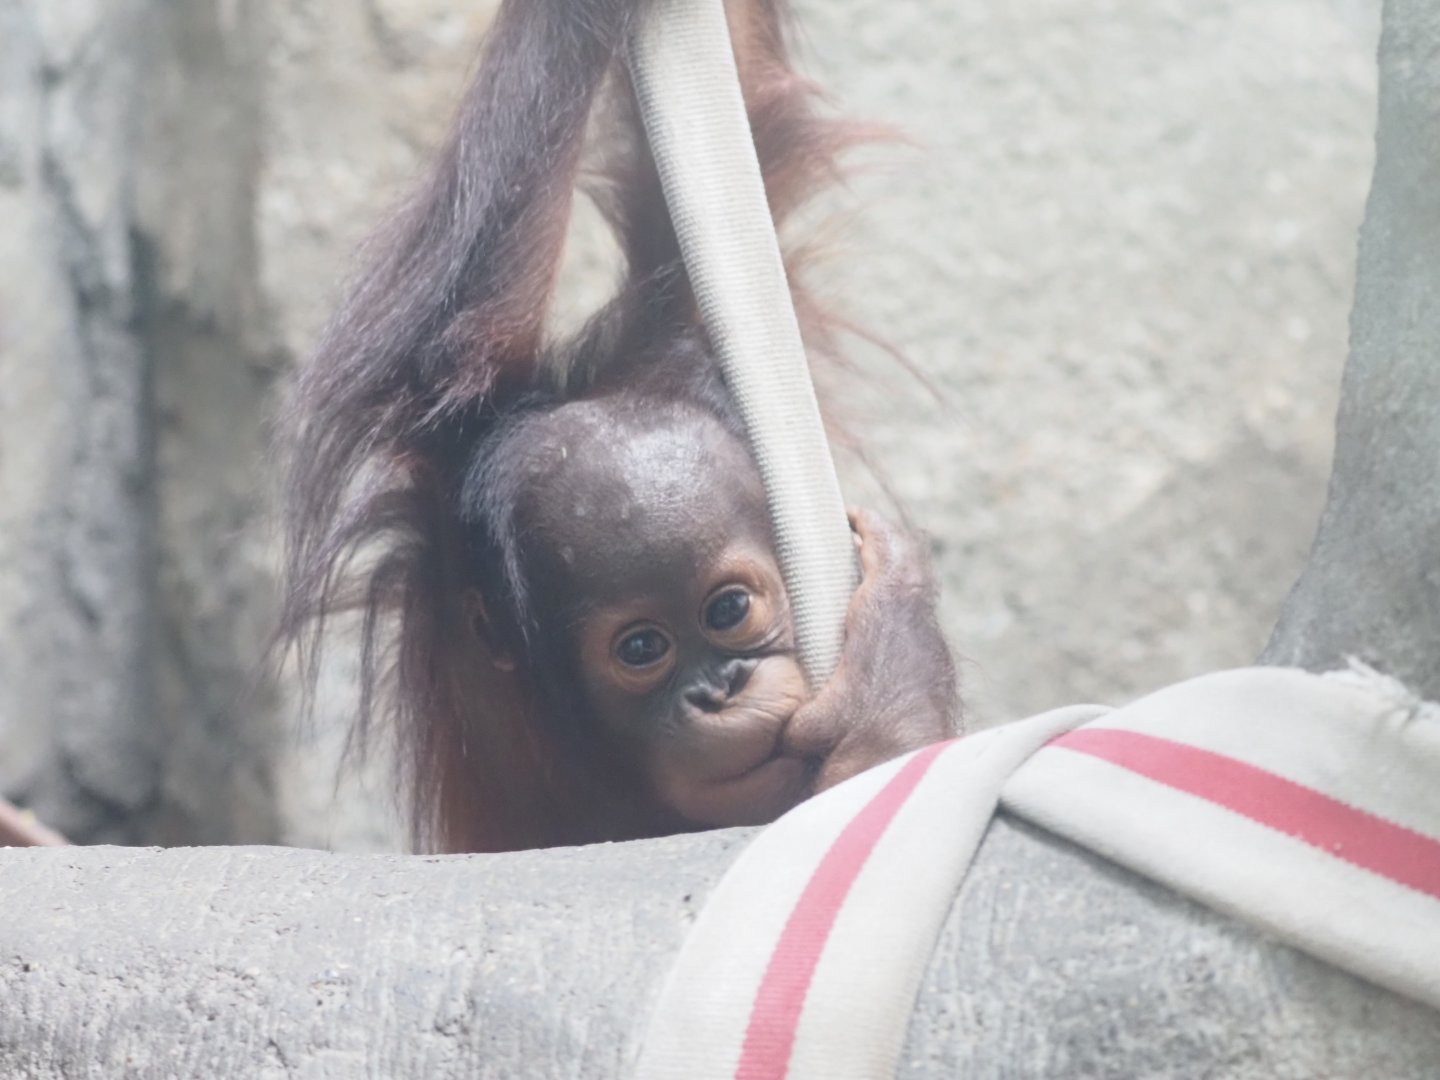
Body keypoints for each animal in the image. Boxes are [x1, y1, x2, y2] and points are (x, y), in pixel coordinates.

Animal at [279, 0, 960, 853]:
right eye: (642, 649)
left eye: (727, 611)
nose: (718, 687)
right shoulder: (450, 502)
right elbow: (452, 334)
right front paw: (892, 659)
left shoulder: (673, 344)